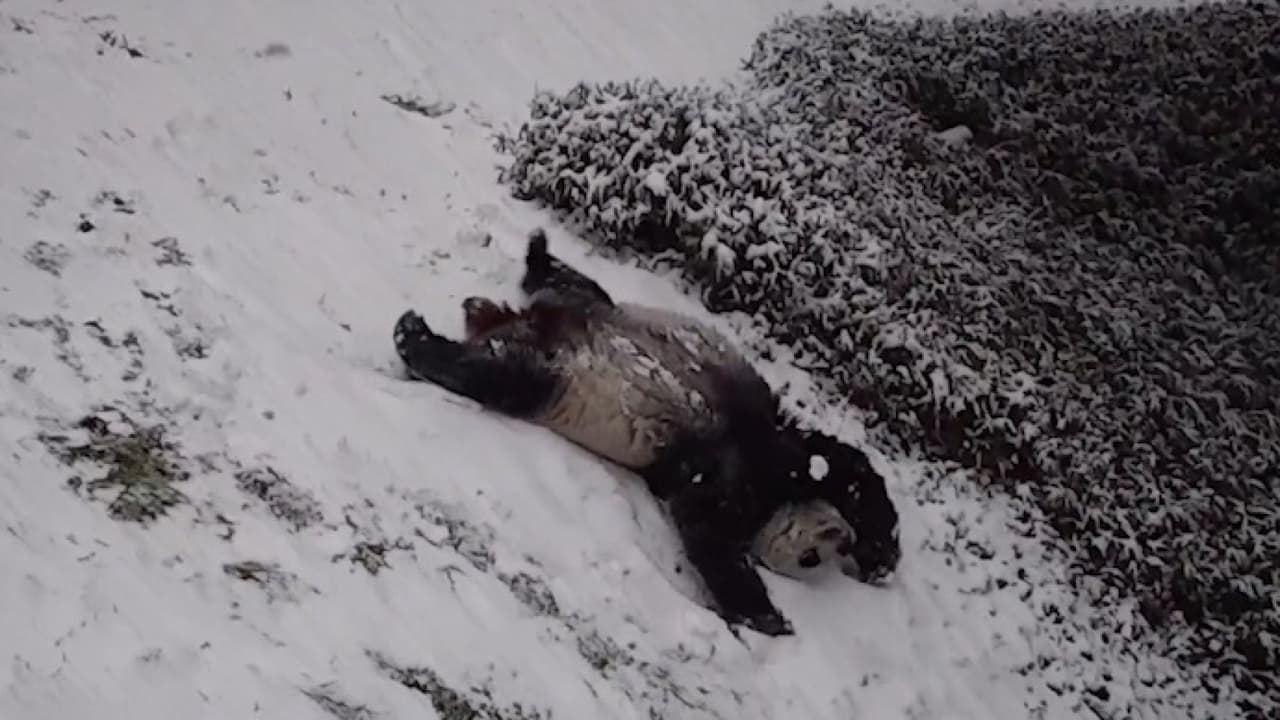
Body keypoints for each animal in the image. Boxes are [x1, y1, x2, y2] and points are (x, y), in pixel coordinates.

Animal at [393, 228, 901, 637]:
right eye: (811, 558)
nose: (843, 542)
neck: (775, 499)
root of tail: (517, 321)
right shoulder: (740, 465)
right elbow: (720, 529)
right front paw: (770, 616)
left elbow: (842, 469)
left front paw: (876, 556)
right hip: (562, 372)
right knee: (500, 372)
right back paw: (417, 333)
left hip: (574, 327)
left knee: (558, 297)